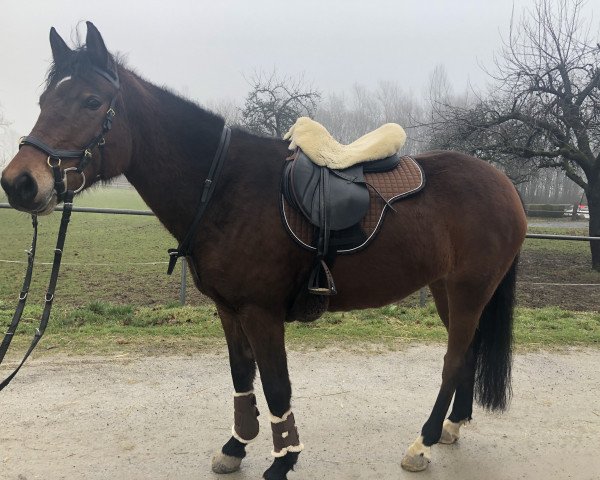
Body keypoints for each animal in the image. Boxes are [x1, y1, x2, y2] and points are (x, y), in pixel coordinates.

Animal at [0, 22, 524, 480]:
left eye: (91, 101)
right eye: (45, 100)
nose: (19, 183)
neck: (223, 186)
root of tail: (505, 185)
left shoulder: (260, 312)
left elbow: (275, 386)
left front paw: (283, 460)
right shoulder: (230, 311)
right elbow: (241, 377)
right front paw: (237, 446)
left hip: (468, 289)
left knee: (454, 358)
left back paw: (424, 441)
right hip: (445, 289)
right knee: (467, 352)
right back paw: (451, 427)